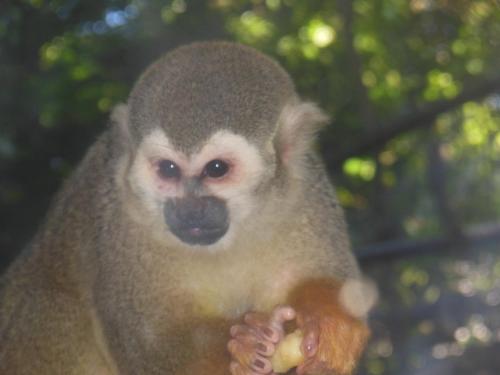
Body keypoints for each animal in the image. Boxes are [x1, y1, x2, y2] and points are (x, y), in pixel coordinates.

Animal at [0, 42, 374, 374]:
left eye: (216, 169)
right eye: (168, 170)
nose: (191, 210)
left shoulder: (307, 193)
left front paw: (331, 320)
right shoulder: (118, 220)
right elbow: (154, 351)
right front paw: (242, 344)